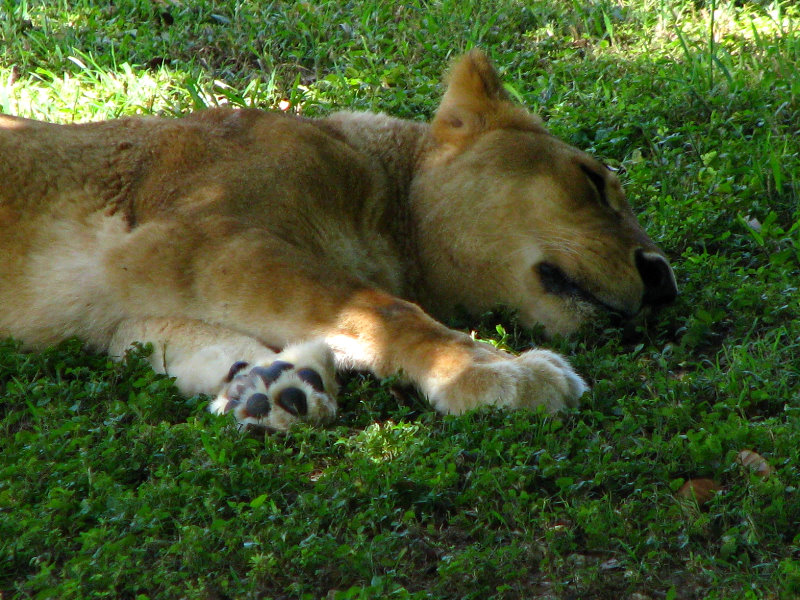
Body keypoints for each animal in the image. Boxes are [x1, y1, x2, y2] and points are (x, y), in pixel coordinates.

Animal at [0, 49, 676, 428]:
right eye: (593, 181)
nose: (664, 280)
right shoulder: (193, 235)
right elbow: (385, 310)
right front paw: (495, 373)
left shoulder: (124, 303)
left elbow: (174, 338)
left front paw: (271, 386)